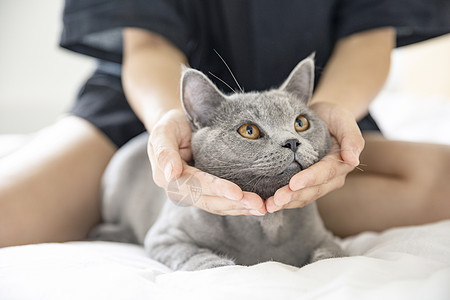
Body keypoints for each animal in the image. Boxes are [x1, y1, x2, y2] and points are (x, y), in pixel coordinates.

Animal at [93, 55, 342, 270]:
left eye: (300, 123)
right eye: (249, 130)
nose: (291, 142)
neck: (269, 223)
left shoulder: (327, 237)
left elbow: (332, 255)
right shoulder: (165, 235)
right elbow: (193, 254)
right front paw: (220, 266)